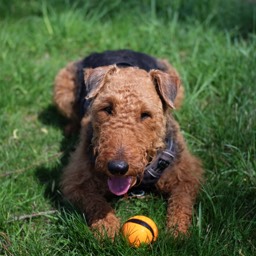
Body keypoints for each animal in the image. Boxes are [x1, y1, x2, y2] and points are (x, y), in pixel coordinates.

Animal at [53, 49, 203, 238]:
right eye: (107, 108)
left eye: (146, 114)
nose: (118, 167)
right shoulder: (76, 182)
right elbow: (96, 202)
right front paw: (107, 228)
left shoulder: (187, 176)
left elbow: (181, 203)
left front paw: (176, 233)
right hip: (62, 90)